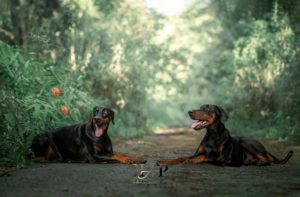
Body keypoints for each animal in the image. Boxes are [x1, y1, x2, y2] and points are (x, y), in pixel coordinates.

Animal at [158, 104, 294, 167]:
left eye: (207, 109)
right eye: (200, 107)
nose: (189, 112)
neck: (212, 134)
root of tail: (265, 150)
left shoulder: (219, 157)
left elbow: (202, 157)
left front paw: (189, 161)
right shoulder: (197, 153)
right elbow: (181, 157)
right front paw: (164, 161)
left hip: (245, 141)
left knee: (267, 160)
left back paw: (258, 162)